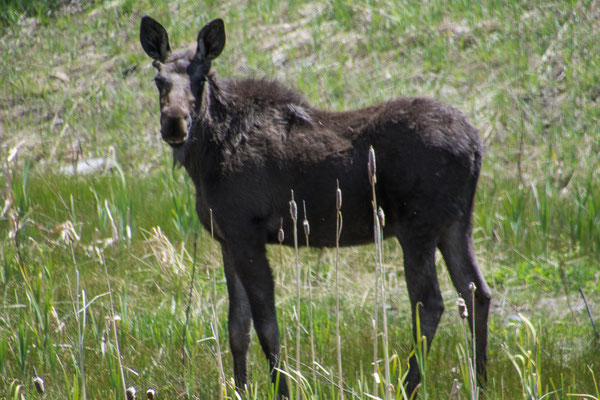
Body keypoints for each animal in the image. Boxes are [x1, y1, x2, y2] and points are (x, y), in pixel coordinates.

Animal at [141, 15, 492, 396]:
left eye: (201, 78)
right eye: (159, 79)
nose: (174, 122)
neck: (206, 160)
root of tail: (476, 147)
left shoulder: (247, 233)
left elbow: (267, 328)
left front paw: (282, 390)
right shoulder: (227, 238)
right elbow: (237, 329)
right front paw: (240, 389)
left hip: (417, 226)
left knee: (430, 302)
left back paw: (407, 386)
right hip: (456, 223)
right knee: (476, 293)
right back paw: (481, 382)